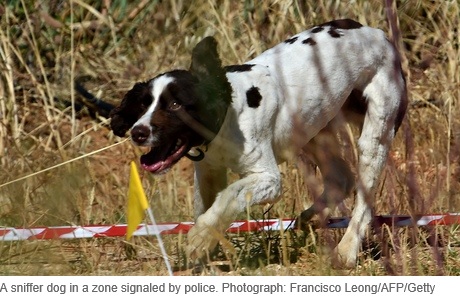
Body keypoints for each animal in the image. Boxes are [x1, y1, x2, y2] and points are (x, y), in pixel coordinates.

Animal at [110, 19, 406, 268]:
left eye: (175, 105)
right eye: (143, 104)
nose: (138, 132)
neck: (227, 114)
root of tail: (376, 33)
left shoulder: (268, 179)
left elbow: (229, 196)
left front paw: (199, 239)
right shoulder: (208, 171)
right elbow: (206, 206)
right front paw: (207, 246)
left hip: (375, 133)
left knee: (363, 196)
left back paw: (346, 250)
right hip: (312, 129)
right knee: (340, 178)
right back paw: (309, 217)